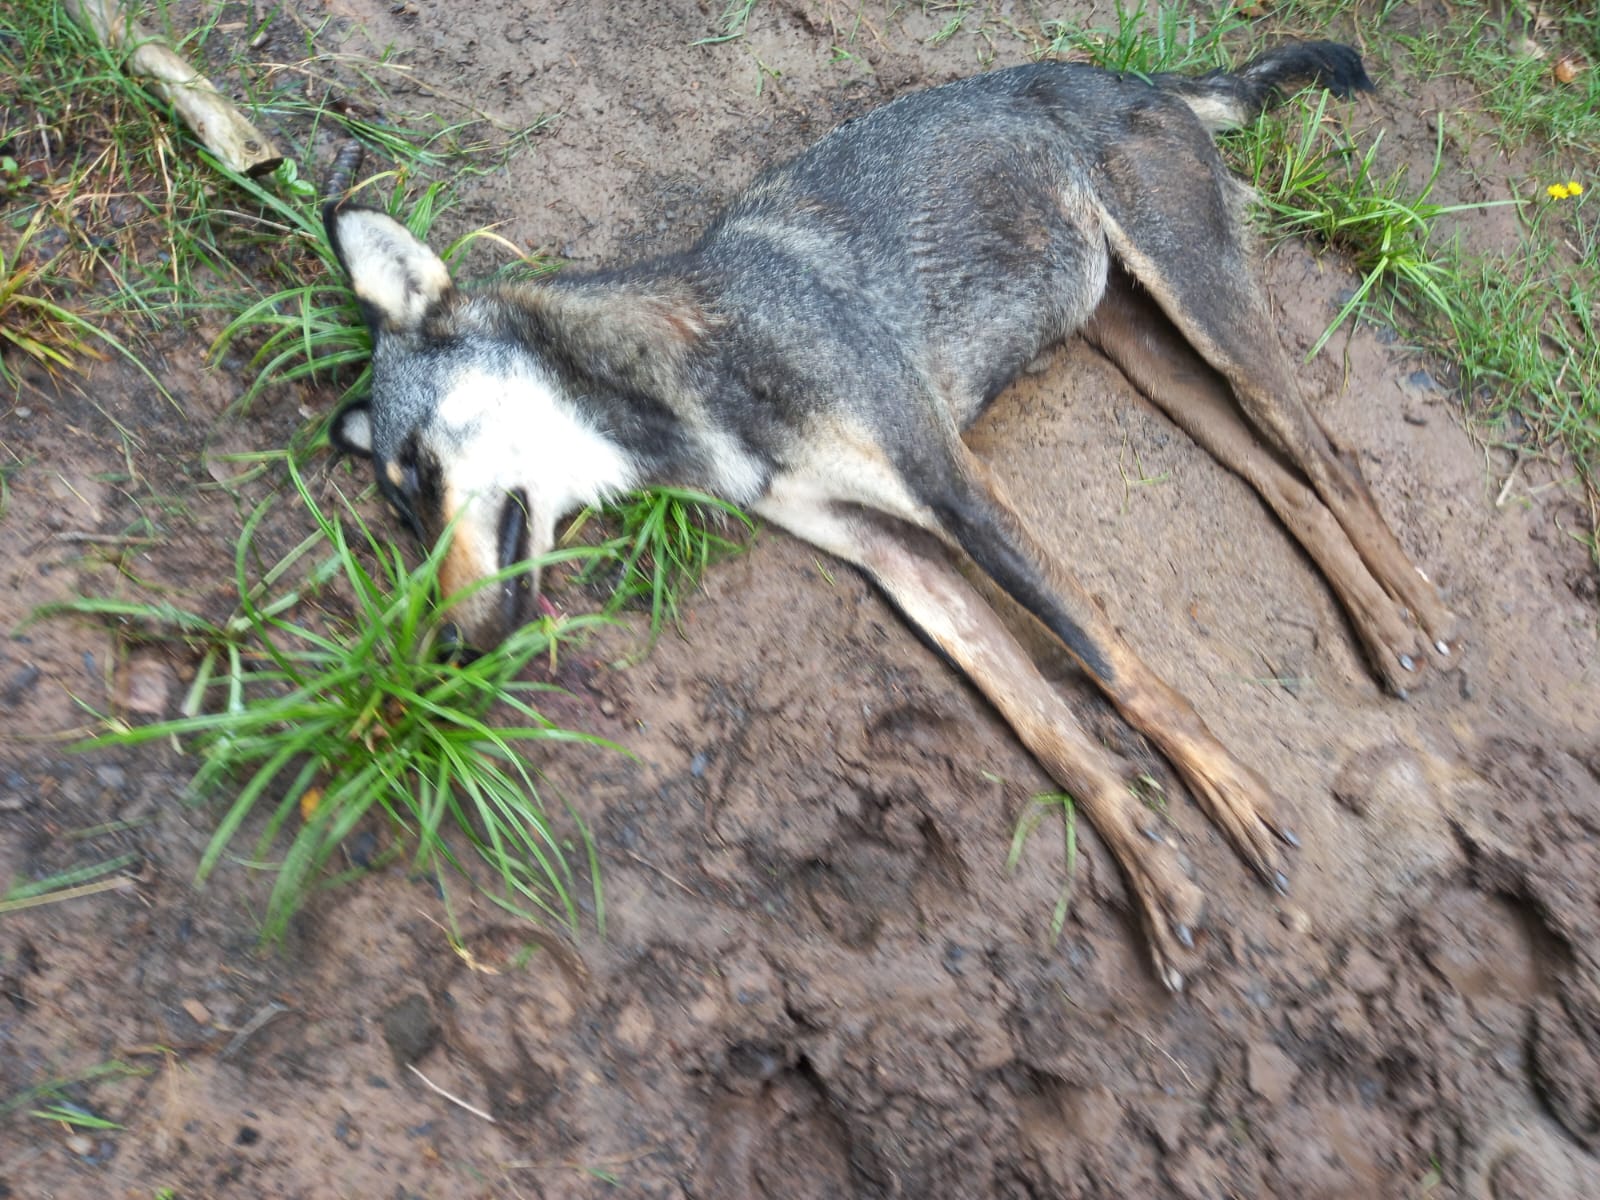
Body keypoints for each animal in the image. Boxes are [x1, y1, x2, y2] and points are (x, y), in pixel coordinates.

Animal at [325, 41, 1457, 989]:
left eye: (422, 472)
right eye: (402, 513)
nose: (445, 650)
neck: (685, 380)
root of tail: (1121, 71)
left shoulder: (957, 489)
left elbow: (1116, 668)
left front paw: (1233, 800)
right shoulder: (898, 557)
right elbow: (1051, 727)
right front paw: (1155, 872)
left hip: (1205, 307)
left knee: (1330, 459)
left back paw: (1419, 608)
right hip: (1148, 353)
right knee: (1279, 480)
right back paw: (1382, 626)